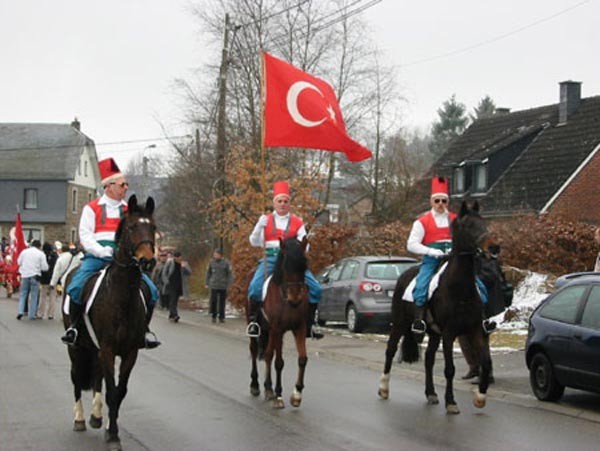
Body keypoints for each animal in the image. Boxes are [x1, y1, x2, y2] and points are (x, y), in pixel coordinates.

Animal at [63, 196, 156, 450]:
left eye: (153, 227)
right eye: (132, 227)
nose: (148, 261)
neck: (122, 296)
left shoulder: (130, 352)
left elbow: (119, 391)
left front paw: (108, 428)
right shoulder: (107, 348)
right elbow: (112, 391)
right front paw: (113, 435)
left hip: (95, 348)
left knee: (97, 377)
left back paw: (96, 416)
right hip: (76, 347)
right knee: (76, 377)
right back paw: (79, 419)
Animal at [247, 237, 312, 410]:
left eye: (304, 264)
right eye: (285, 265)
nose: (295, 298)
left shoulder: (299, 328)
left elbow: (302, 358)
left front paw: (297, 394)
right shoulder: (278, 329)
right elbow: (279, 362)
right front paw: (279, 396)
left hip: (270, 331)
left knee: (268, 354)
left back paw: (268, 388)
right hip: (257, 327)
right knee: (255, 351)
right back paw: (255, 385)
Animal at [378, 203, 494, 414]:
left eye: (484, 222)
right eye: (469, 225)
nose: (493, 247)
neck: (460, 289)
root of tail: (404, 274)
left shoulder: (475, 330)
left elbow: (486, 362)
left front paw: (480, 397)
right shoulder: (449, 334)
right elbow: (449, 369)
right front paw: (451, 402)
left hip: (433, 333)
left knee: (429, 359)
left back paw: (431, 393)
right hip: (400, 323)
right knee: (390, 350)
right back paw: (383, 388)